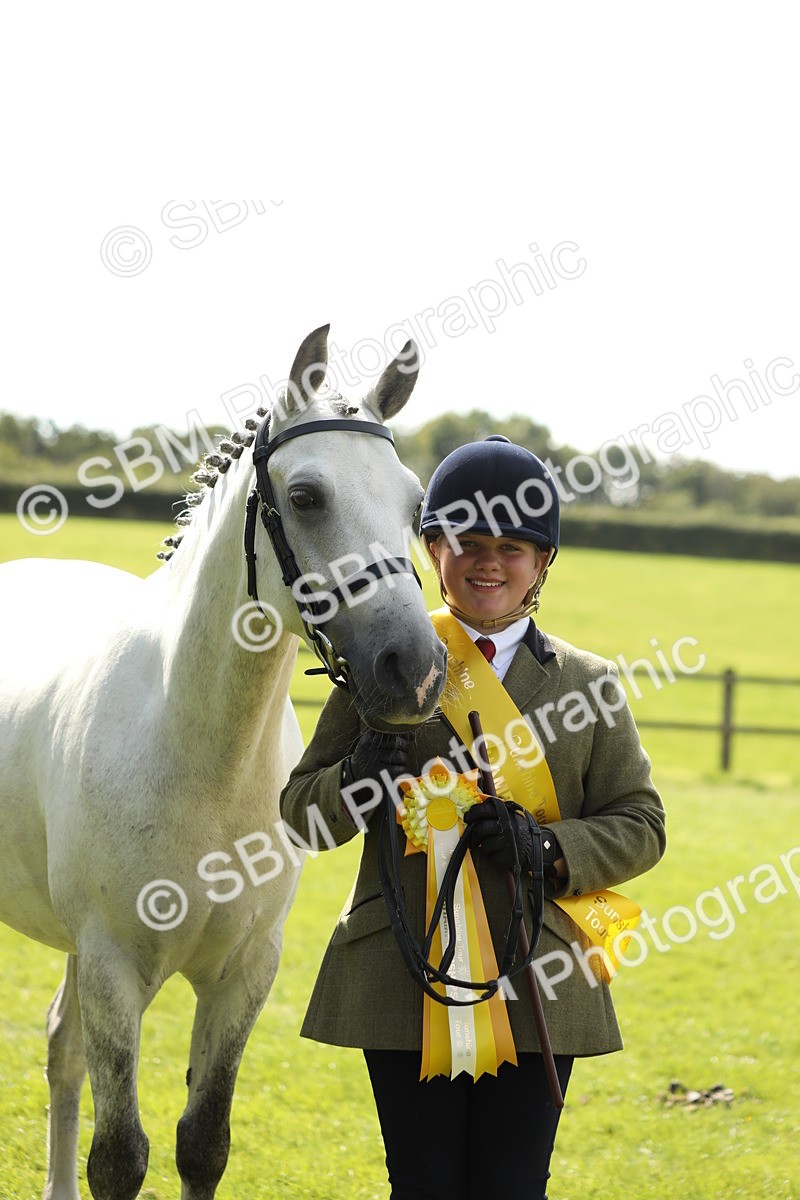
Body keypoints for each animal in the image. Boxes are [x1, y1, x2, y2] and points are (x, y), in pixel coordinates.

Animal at [0, 324, 446, 1200]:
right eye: (305, 496)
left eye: (415, 504)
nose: (411, 668)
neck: (201, 756)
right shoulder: (113, 968)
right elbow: (120, 1157)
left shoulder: (244, 972)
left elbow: (202, 1143)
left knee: (62, 1049)